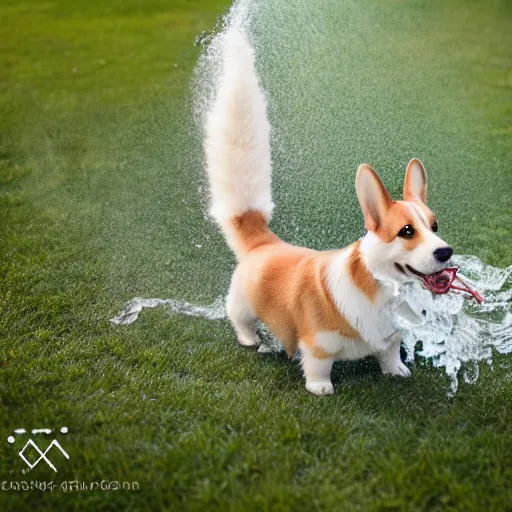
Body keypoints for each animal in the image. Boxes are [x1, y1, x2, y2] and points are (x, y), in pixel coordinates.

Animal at [204, 29, 452, 396]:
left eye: (434, 226)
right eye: (407, 231)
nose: (446, 252)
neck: (381, 290)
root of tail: (264, 241)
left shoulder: (391, 337)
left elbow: (390, 353)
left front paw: (396, 371)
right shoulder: (317, 343)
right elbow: (318, 366)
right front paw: (321, 388)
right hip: (243, 304)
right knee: (240, 319)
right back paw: (250, 340)